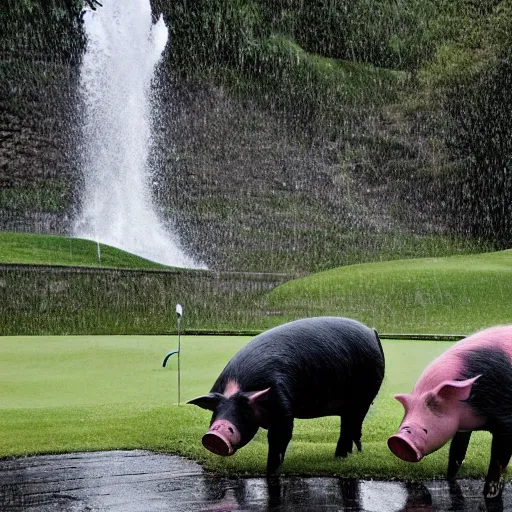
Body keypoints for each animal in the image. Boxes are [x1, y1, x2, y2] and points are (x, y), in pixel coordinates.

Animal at [188, 318, 384, 474]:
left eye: (243, 412)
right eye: (216, 413)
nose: (214, 436)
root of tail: (371, 331)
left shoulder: (282, 405)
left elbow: (280, 437)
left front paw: (270, 471)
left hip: (365, 396)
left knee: (353, 425)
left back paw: (343, 456)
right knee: (348, 426)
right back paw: (343, 456)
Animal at [388, 326, 512, 498]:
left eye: (425, 429)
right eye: (402, 424)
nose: (398, 440)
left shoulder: (506, 423)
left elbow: (498, 460)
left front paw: (489, 495)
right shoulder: (462, 426)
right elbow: (457, 450)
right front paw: (449, 478)